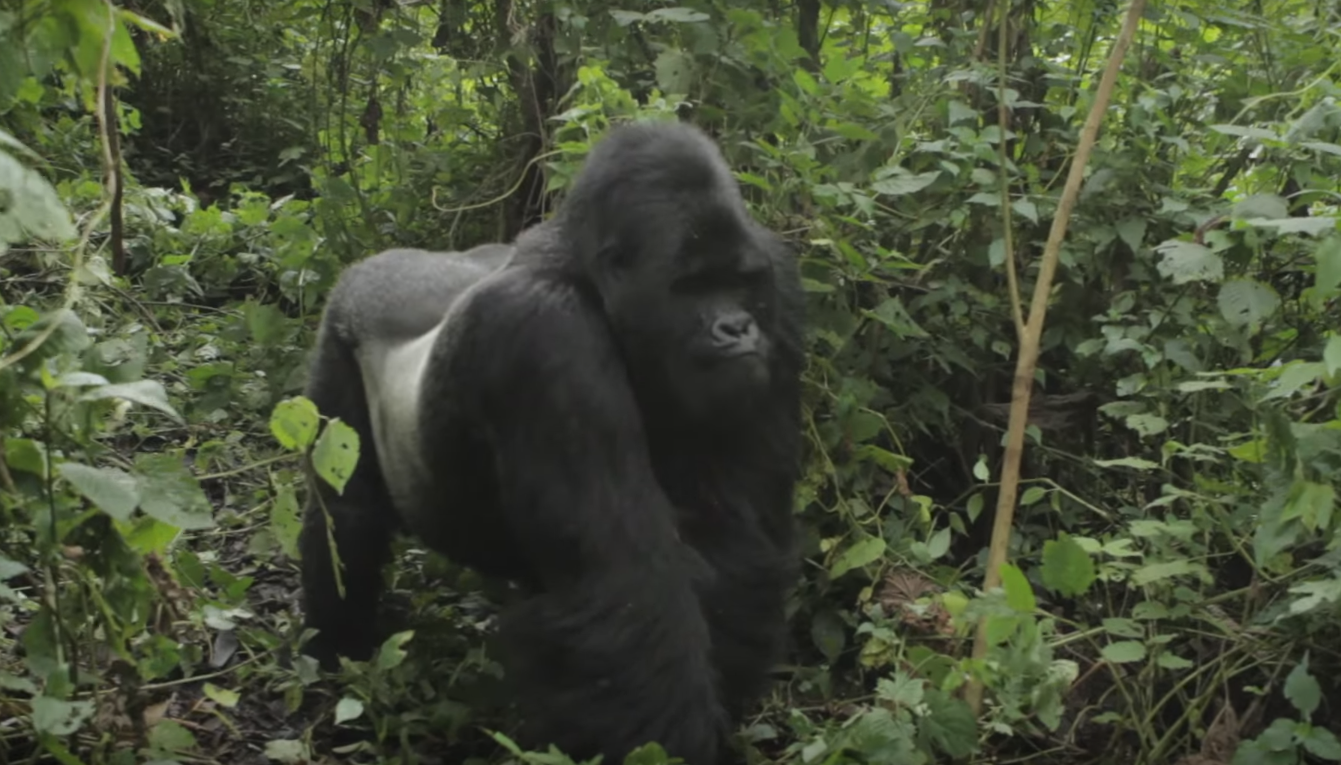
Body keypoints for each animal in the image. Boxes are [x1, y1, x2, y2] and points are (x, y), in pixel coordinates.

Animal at [299, 122, 799, 762]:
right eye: (690, 288)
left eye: (739, 282)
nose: (737, 328)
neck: (587, 279)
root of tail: (380, 260)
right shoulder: (545, 335)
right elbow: (628, 588)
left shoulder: (779, 291)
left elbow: (733, 538)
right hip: (341, 318)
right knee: (345, 512)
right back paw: (341, 645)